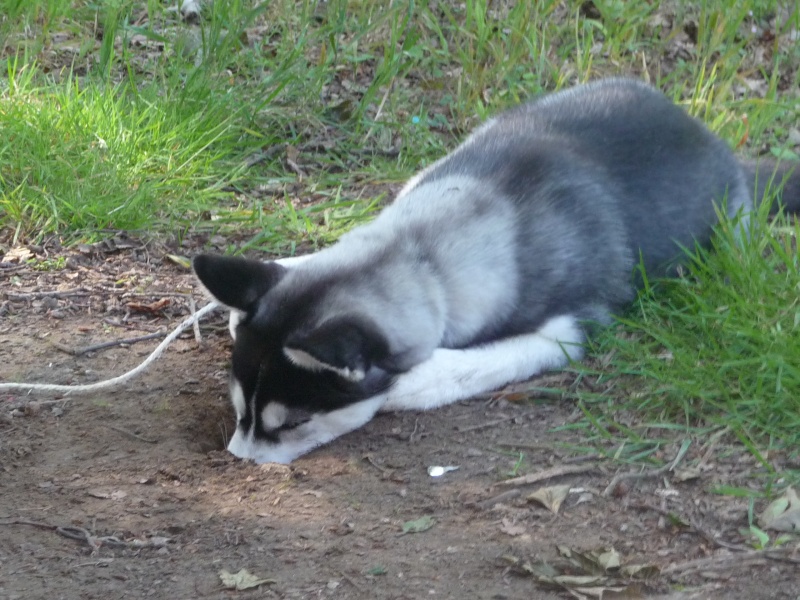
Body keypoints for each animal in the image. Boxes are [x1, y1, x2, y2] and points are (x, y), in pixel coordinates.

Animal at [195, 78, 800, 464]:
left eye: (294, 424)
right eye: (238, 411)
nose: (238, 458)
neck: (421, 251)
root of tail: (718, 143)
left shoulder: (572, 326)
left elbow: (474, 364)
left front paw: (410, 385)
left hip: (726, 234)